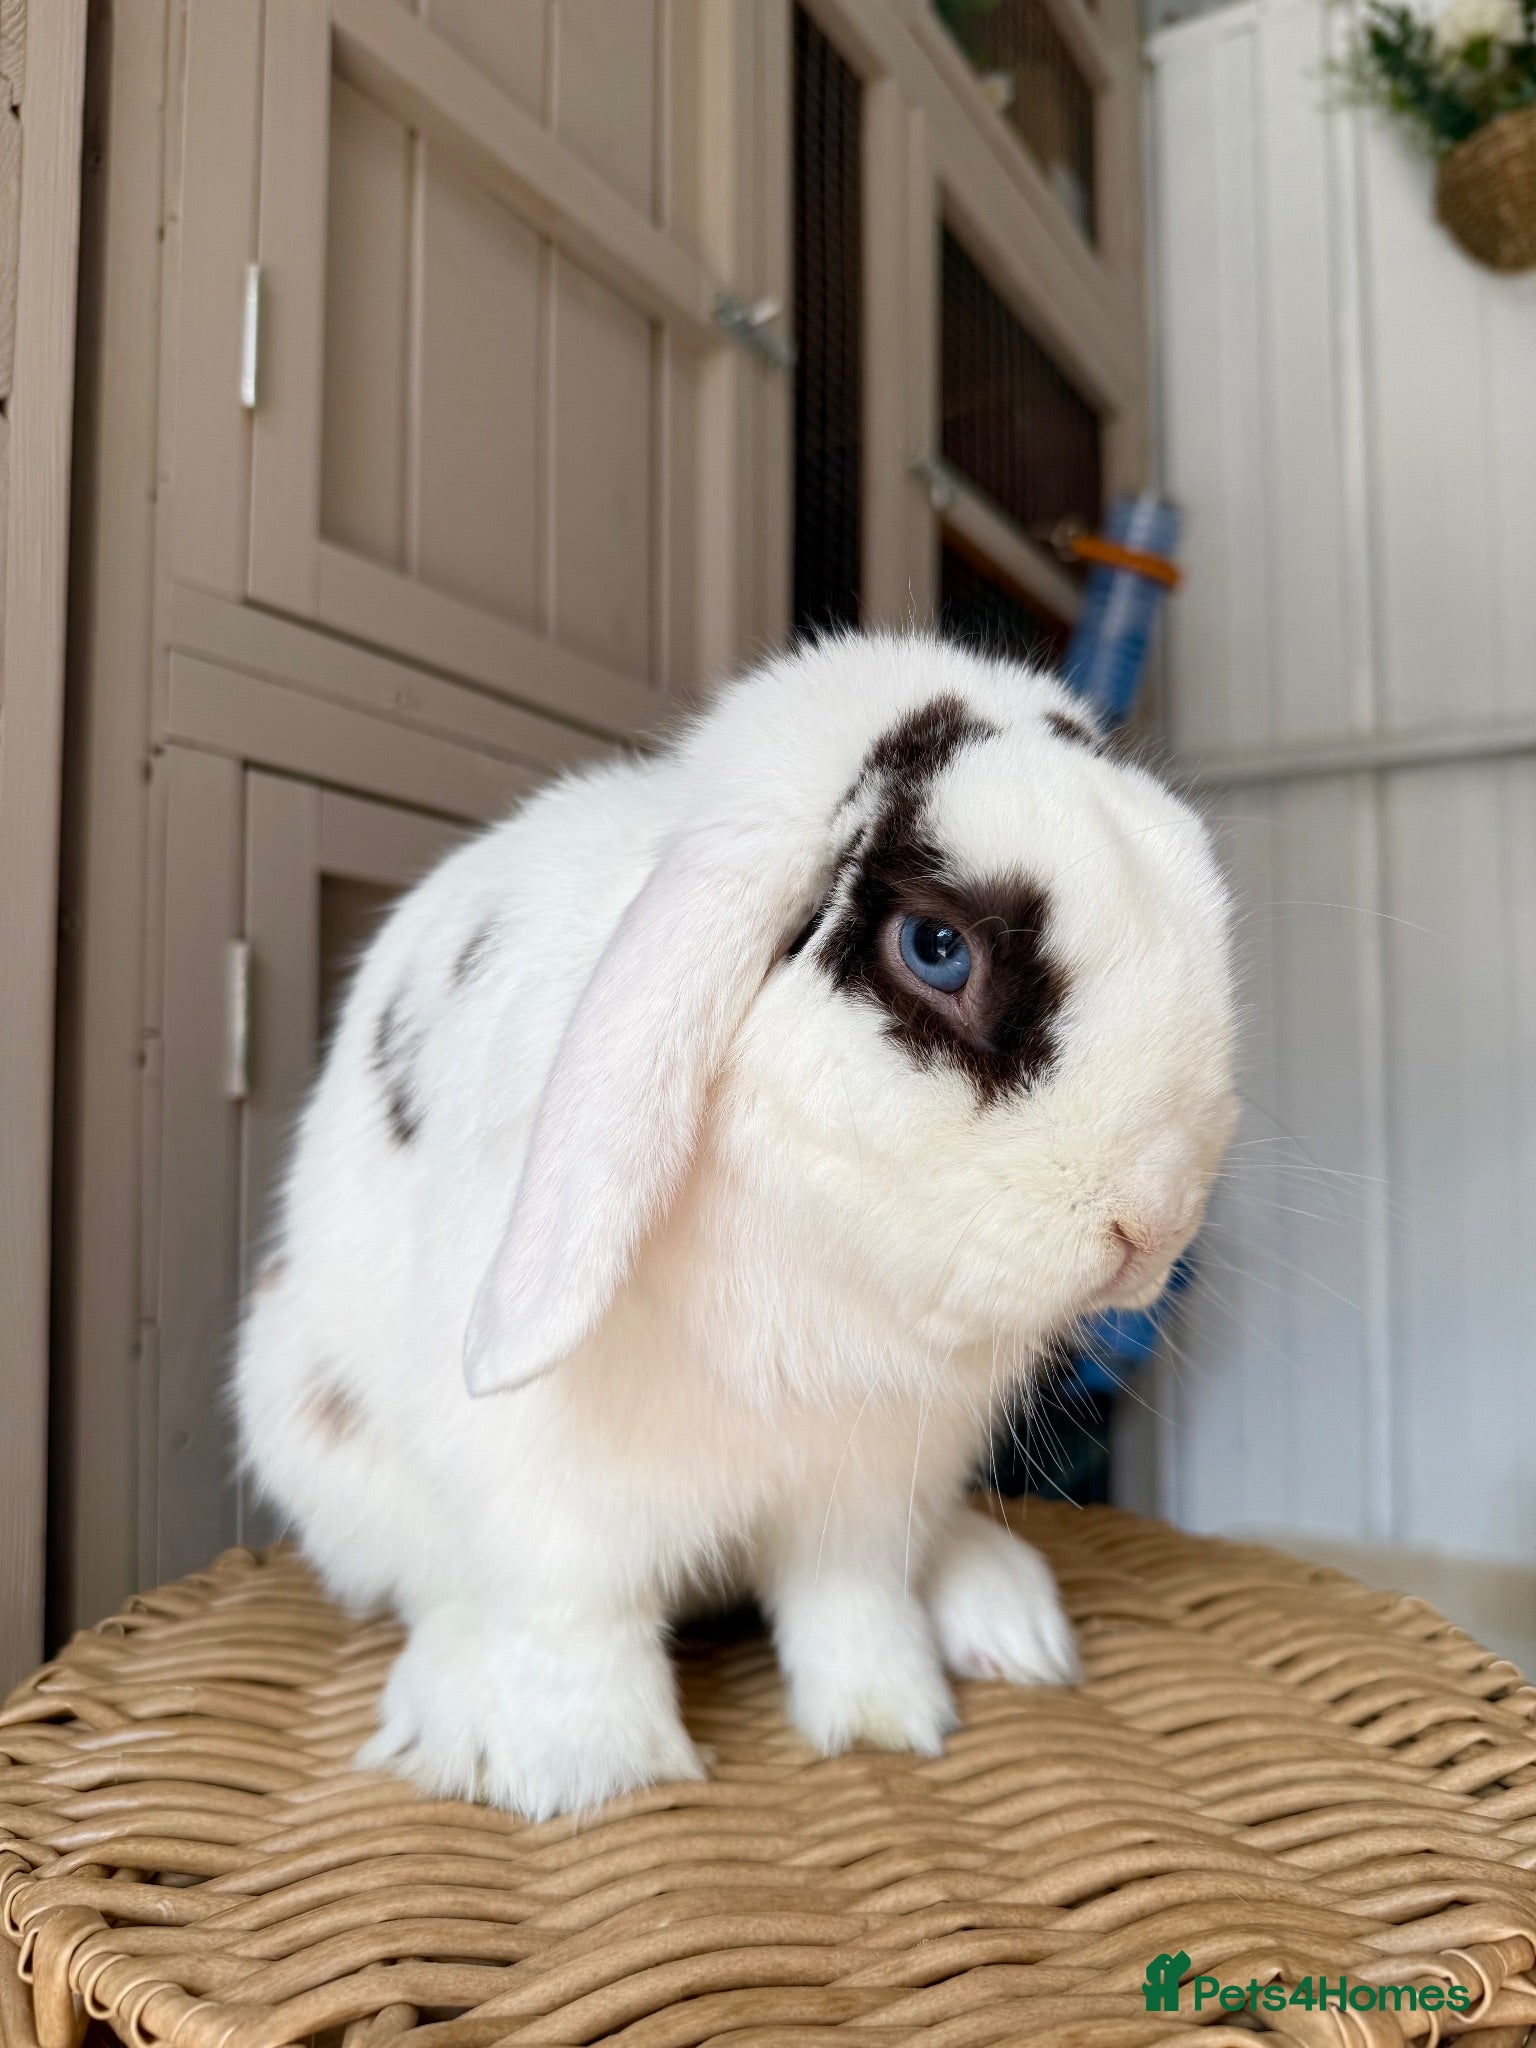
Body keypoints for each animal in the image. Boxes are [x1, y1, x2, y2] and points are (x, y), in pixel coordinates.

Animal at [234, 632, 1238, 1820]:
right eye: (936, 946)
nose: (1153, 1225)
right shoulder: (548, 1493)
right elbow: (571, 1616)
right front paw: (585, 1770)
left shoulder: (867, 1481)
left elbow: (853, 1604)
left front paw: (890, 1721)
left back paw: (1006, 1618)